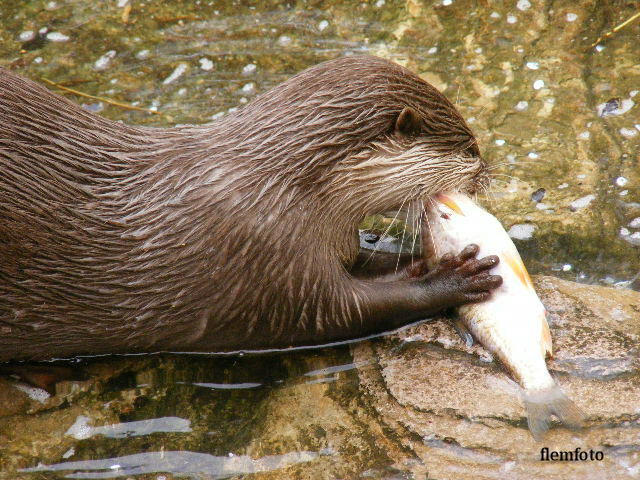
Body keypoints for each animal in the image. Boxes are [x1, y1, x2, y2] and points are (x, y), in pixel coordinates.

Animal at [0, 54, 500, 362]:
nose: (487, 172)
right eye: (470, 148)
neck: (277, 187)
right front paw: (453, 276)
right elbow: (350, 310)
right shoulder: (266, 265)